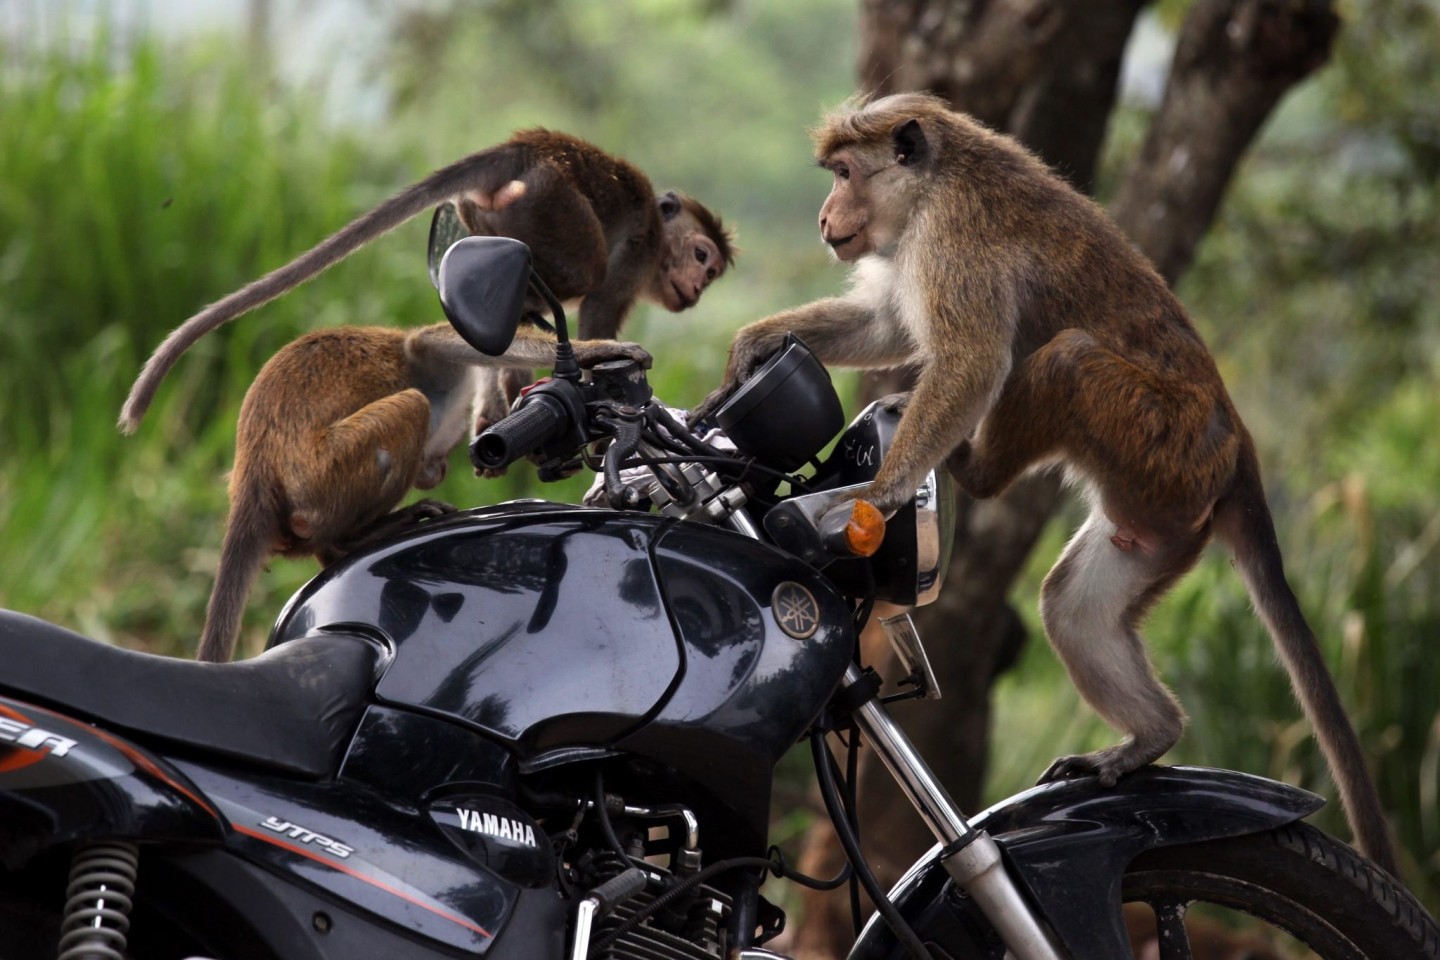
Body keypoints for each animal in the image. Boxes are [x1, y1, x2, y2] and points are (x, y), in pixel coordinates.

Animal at [115, 126, 731, 431]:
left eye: (711, 272)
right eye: (701, 256)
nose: (699, 287)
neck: (660, 236)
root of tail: (524, 148)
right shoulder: (636, 257)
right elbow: (599, 312)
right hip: (556, 202)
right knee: (584, 265)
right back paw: (479, 222)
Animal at [195, 319, 648, 664]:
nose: (437, 467)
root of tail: (254, 473)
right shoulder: (428, 358)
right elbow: (438, 341)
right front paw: (600, 350)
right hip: (325, 475)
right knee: (411, 405)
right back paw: (352, 539)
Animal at [696, 93, 1393, 875]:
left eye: (845, 173)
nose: (824, 216)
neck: (931, 186)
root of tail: (1237, 440)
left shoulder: (952, 239)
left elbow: (969, 360)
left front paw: (879, 496)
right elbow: (884, 325)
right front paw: (755, 344)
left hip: (1161, 440)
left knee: (1067, 359)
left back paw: (974, 470)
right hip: (1161, 518)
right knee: (1075, 609)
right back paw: (1151, 737)